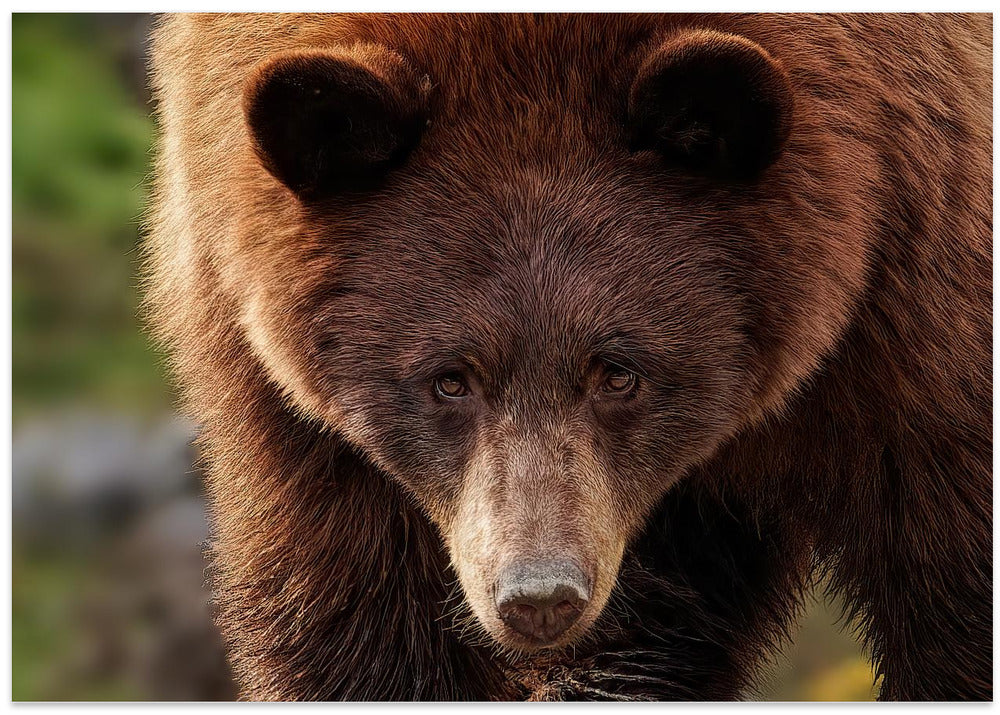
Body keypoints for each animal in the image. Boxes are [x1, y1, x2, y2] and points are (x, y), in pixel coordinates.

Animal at [144, 13, 992, 701]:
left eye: (618, 371)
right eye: (448, 380)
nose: (538, 595)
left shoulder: (918, 309)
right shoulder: (280, 391)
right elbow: (351, 612)